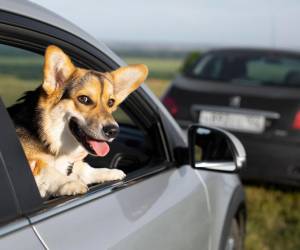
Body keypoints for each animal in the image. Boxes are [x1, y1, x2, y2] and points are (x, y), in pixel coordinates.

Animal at [9, 44, 149, 197]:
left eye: (111, 102)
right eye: (84, 99)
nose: (113, 131)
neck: (47, 136)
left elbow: (84, 169)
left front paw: (109, 172)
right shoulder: (32, 163)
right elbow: (48, 170)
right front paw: (69, 183)